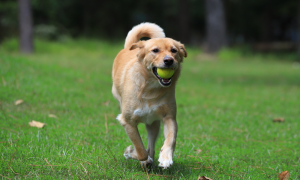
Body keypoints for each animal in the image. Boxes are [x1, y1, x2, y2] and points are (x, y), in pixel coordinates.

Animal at [112, 22, 188, 169]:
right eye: (155, 50)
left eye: (174, 50)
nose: (169, 60)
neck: (150, 89)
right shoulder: (127, 121)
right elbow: (140, 149)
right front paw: (132, 153)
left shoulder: (169, 117)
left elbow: (171, 139)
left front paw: (165, 158)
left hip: (153, 124)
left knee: (151, 146)